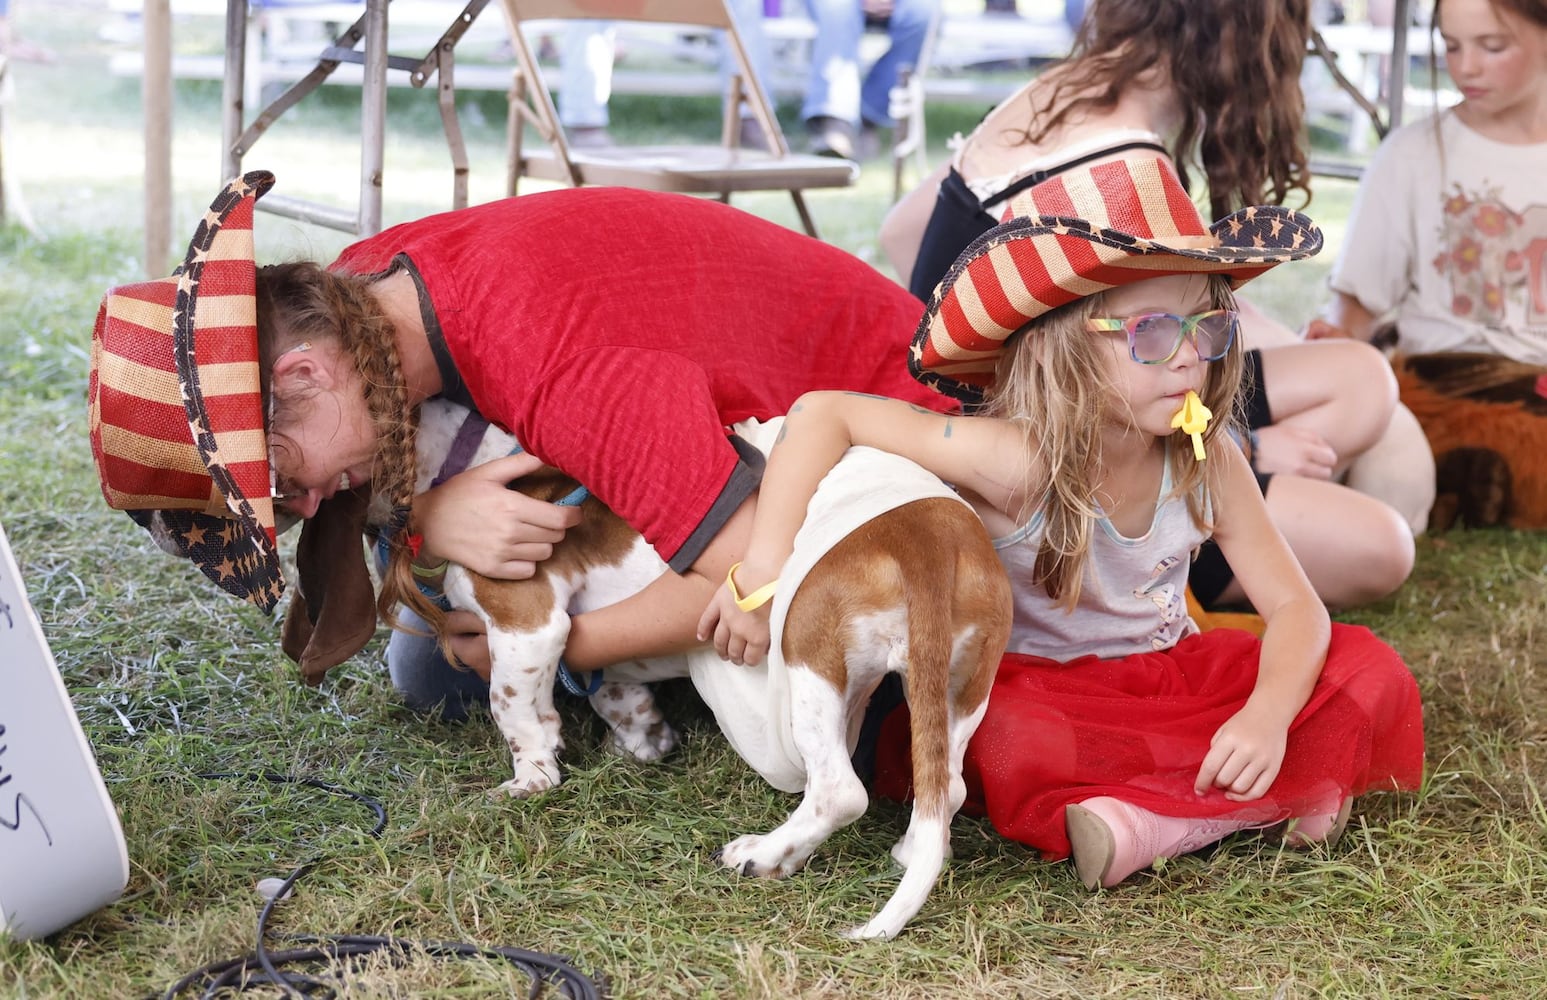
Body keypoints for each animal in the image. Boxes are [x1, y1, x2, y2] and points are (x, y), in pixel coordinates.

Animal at [411, 396, 1014, 941]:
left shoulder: (526, 623)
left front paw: (530, 778)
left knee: (841, 791)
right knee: (946, 788)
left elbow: (510, 704)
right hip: (960, 684)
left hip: (807, 654)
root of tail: (924, 539)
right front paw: (640, 739)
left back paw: (765, 854)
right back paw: (912, 849)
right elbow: (603, 692)